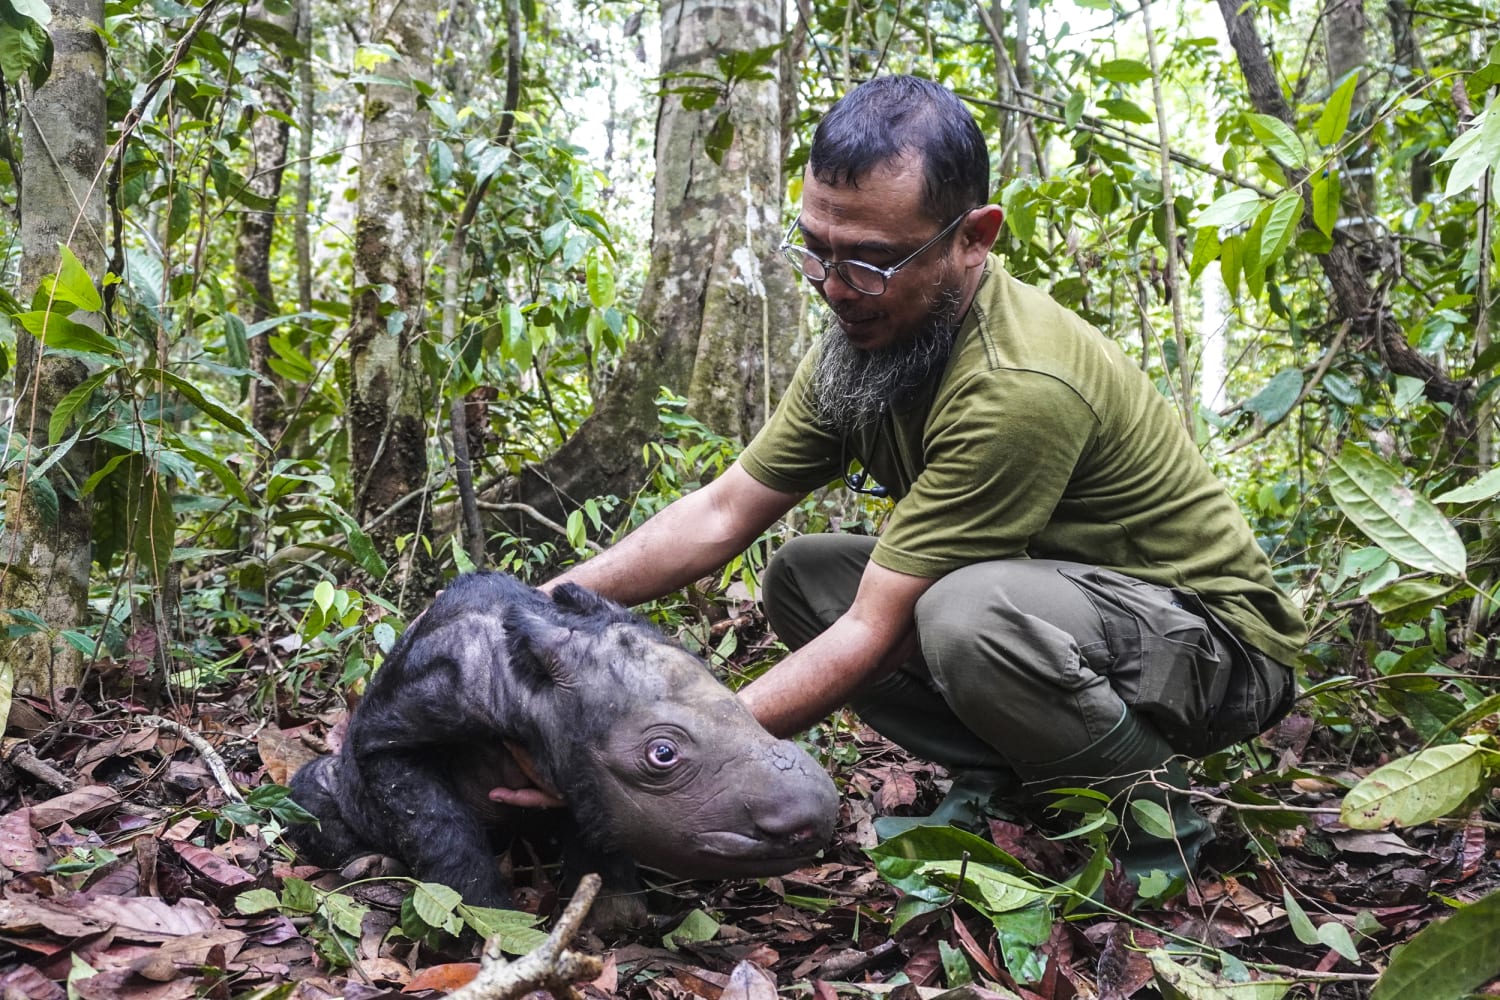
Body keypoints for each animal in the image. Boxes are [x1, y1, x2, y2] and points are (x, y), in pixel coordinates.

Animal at [287, 572, 839, 920]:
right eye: (662, 755)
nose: (814, 817)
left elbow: (592, 824)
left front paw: (617, 913)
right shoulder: (394, 731)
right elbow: (435, 824)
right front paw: (489, 920)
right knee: (311, 794)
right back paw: (368, 867)